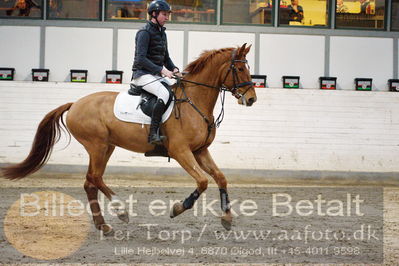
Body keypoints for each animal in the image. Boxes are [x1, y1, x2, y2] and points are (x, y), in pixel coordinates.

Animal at [1, 42, 258, 234]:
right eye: (239, 69)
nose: (251, 99)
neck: (193, 102)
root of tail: (75, 104)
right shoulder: (180, 151)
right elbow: (203, 181)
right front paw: (177, 208)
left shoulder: (200, 151)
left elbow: (221, 178)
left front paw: (227, 218)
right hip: (97, 145)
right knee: (95, 177)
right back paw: (120, 210)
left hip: (107, 147)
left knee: (90, 182)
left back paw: (103, 226)